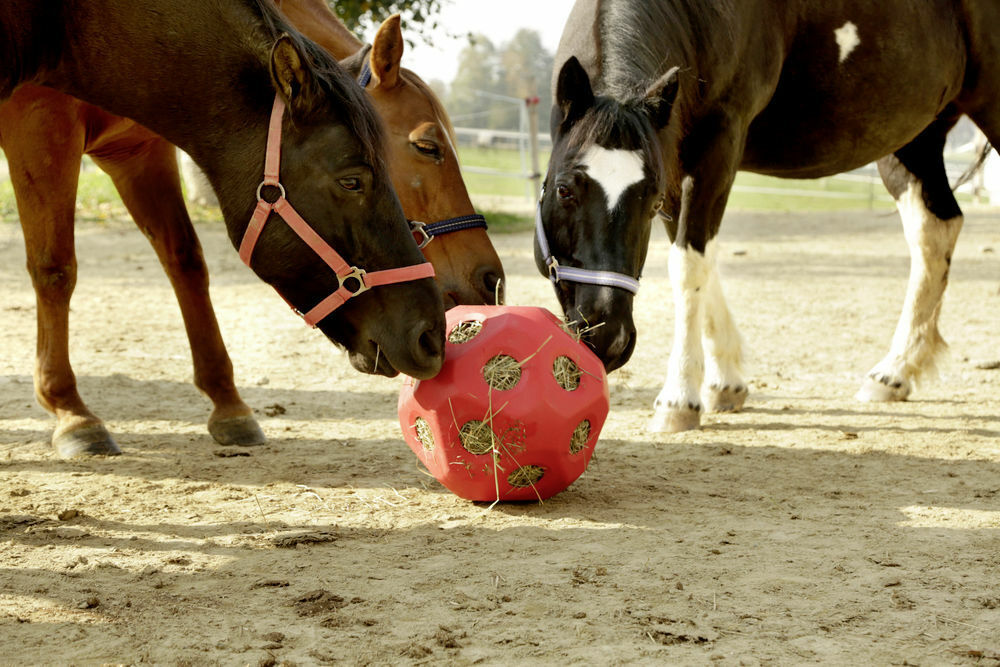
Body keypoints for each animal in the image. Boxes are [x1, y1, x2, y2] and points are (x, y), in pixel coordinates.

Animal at [0, 0, 446, 460]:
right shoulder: (40, 129)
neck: (65, 22)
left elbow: (186, 260)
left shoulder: (134, 150)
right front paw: (72, 413)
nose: (432, 337)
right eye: (352, 181)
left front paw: (228, 406)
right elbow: (55, 269)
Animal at [540, 0, 1000, 434]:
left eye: (650, 203)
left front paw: (679, 400)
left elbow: (689, 266)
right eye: (564, 189)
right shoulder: (675, 158)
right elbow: (697, 261)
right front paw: (725, 383)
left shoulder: (717, 146)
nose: (608, 337)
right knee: (935, 231)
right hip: (915, 140)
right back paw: (895, 372)